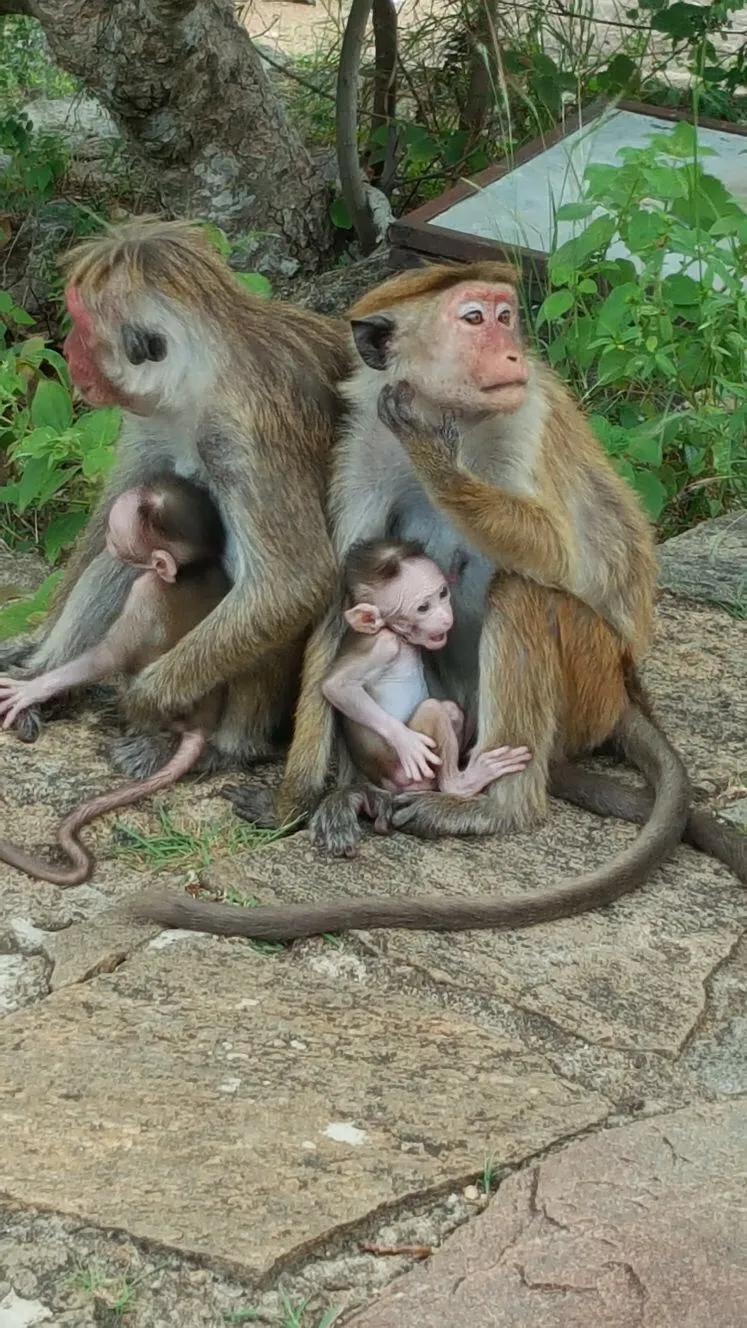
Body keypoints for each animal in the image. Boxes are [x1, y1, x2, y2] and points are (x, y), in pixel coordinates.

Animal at [0, 217, 352, 783]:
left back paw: (226, 746)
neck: (201, 381)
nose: (69, 352)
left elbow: (295, 582)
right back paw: (48, 679)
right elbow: (108, 519)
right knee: (125, 552)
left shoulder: (246, 430)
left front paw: (145, 700)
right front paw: (34, 654)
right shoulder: (152, 415)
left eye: (81, 325)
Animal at [0, 473, 232, 886]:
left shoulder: (145, 590)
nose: (106, 537)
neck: (190, 569)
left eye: (116, 530)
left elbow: (107, 655)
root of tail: (202, 724)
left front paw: (33, 689)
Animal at [324, 537, 532, 794]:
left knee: (450, 710)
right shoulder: (382, 645)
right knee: (432, 710)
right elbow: (335, 686)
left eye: (443, 593)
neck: (400, 638)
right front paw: (405, 741)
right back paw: (459, 784)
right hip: (403, 771)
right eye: (423, 608)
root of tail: (386, 782)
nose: (445, 618)